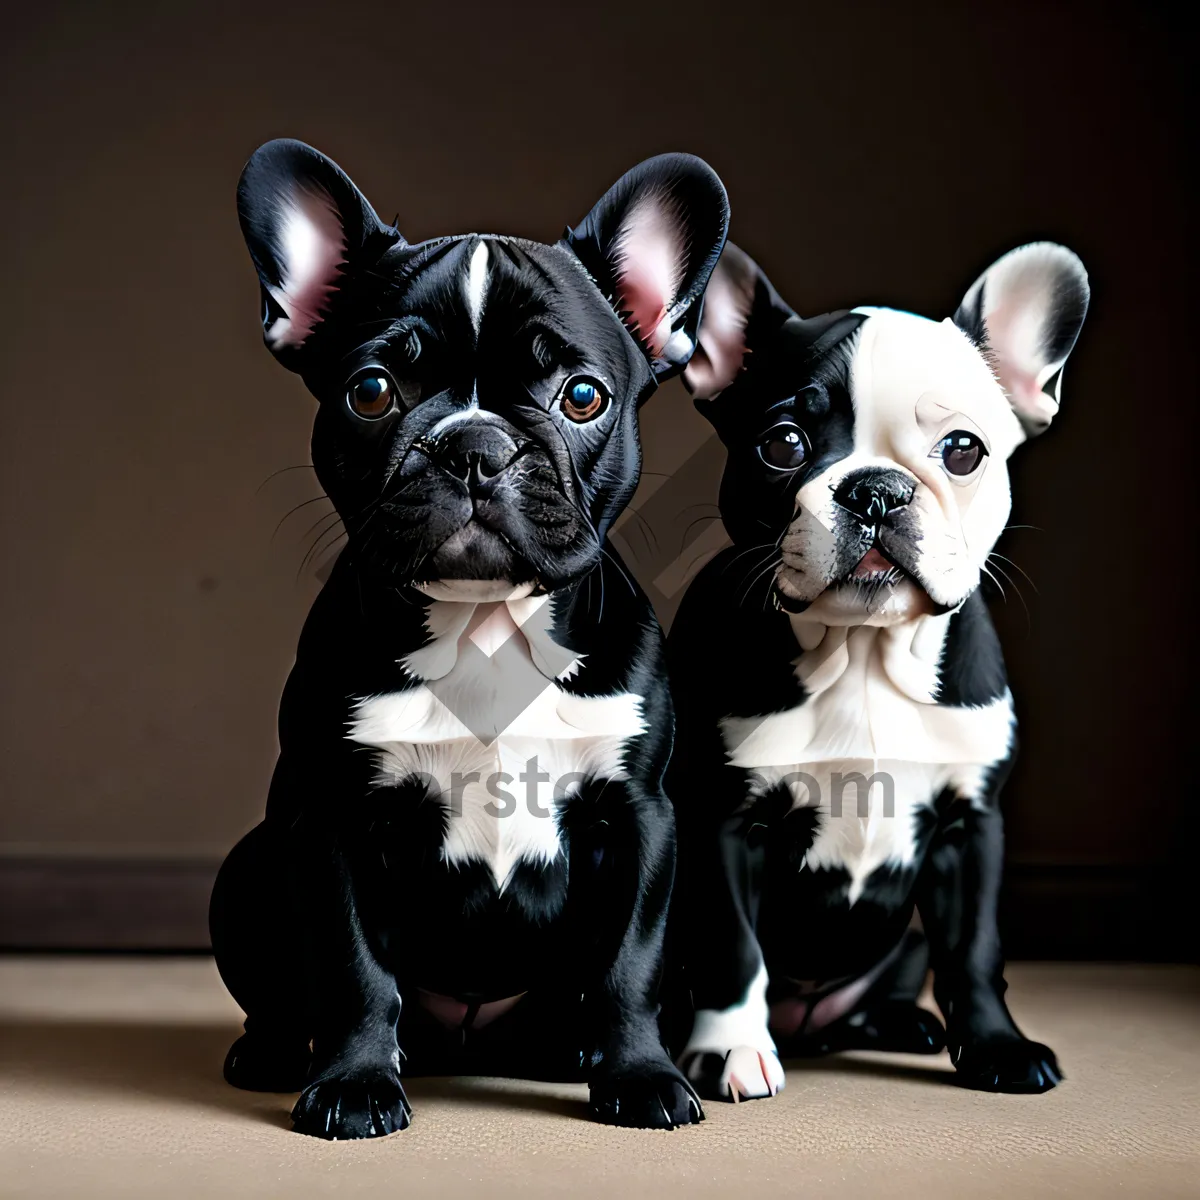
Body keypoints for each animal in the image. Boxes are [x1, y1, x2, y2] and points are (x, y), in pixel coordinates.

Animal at [210, 138, 724, 1132]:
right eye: (372, 391)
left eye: (583, 397)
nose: (475, 445)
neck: (486, 626)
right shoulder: (331, 819)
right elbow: (355, 968)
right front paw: (355, 1083)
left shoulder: (642, 818)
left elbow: (631, 963)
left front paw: (640, 1075)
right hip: (252, 862)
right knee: (290, 994)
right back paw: (275, 1052)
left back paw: (573, 1053)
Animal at [672, 238, 1094, 1099]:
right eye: (782, 444)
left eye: (963, 451)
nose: (876, 490)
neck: (863, 654)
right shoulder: (725, 824)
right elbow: (732, 946)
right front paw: (730, 1051)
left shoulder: (971, 829)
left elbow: (974, 949)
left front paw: (996, 1046)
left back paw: (904, 1025)